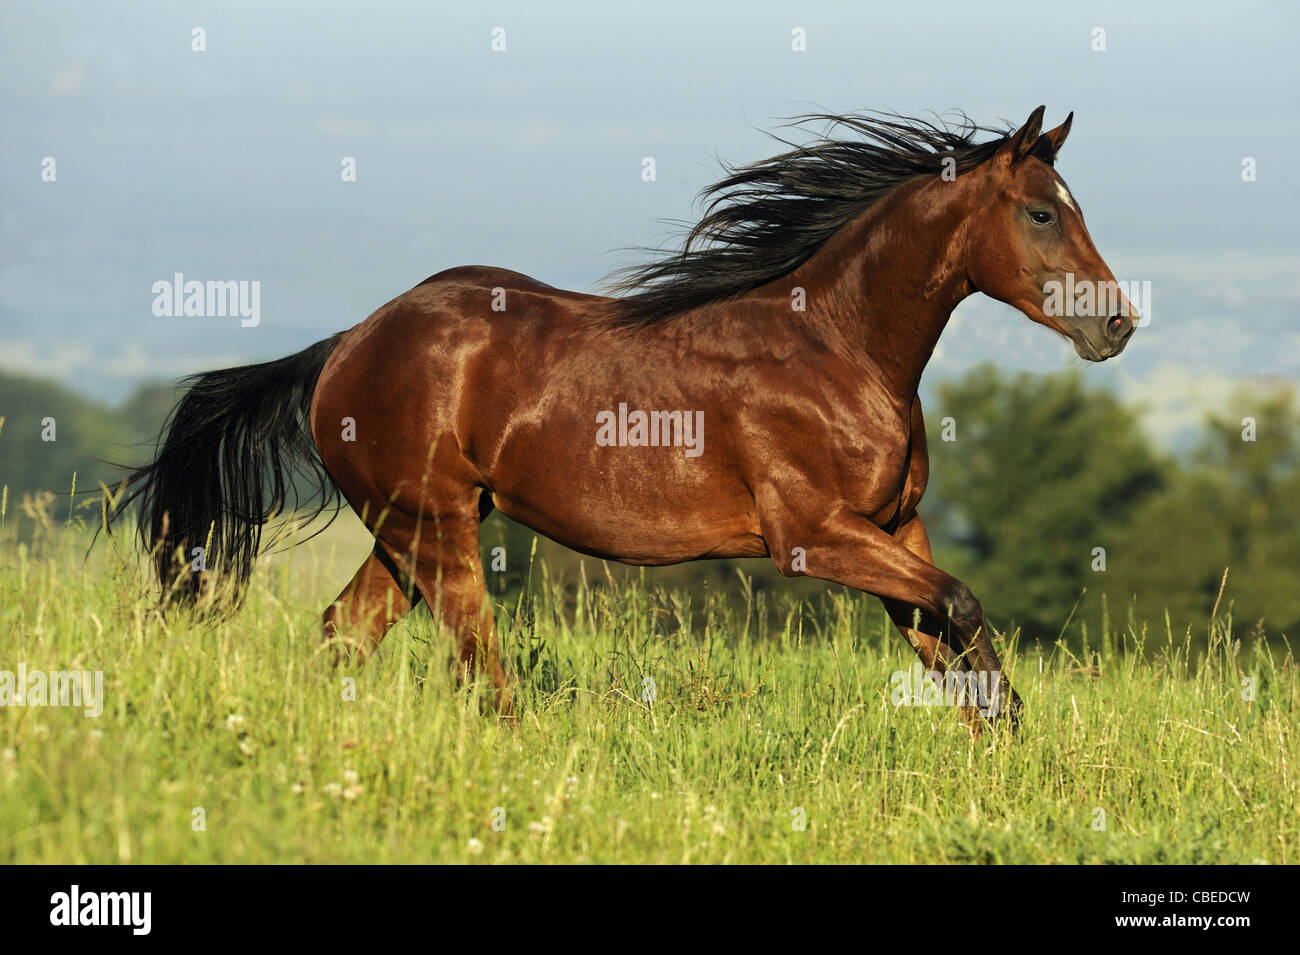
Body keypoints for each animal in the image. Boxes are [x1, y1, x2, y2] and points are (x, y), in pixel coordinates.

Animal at [113, 106, 1137, 731]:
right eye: (1041, 213)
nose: (1117, 323)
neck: (838, 347)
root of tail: (344, 348)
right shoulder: (814, 534)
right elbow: (961, 605)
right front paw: (1008, 733)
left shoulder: (896, 525)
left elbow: (945, 631)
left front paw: (1002, 751)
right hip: (433, 528)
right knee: (476, 664)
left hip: (409, 530)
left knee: (342, 632)